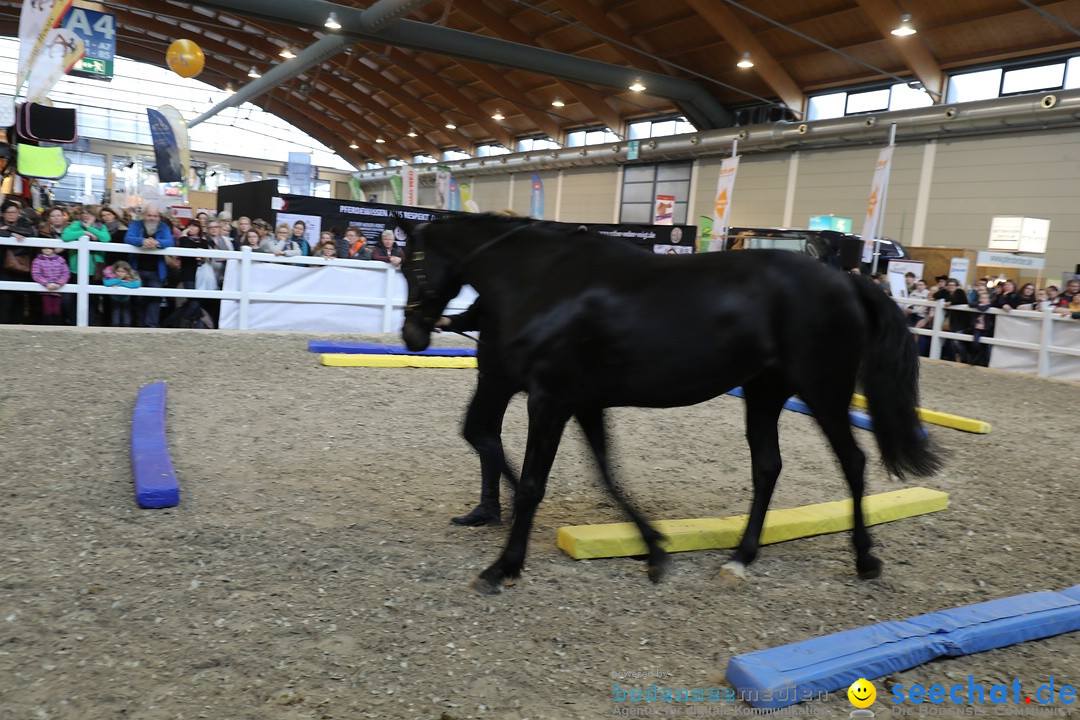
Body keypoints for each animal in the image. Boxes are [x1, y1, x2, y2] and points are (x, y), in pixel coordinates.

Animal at [401, 212, 941, 591]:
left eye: (411, 263)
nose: (412, 336)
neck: (543, 279)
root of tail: (848, 279)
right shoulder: (583, 401)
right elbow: (606, 472)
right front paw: (655, 549)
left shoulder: (549, 398)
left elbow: (535, 483)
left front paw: (504, 567)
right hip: (765, 394)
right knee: (768, 466)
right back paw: (740, 559)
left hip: (824, 393)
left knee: (852, 462)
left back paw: (865, 558)